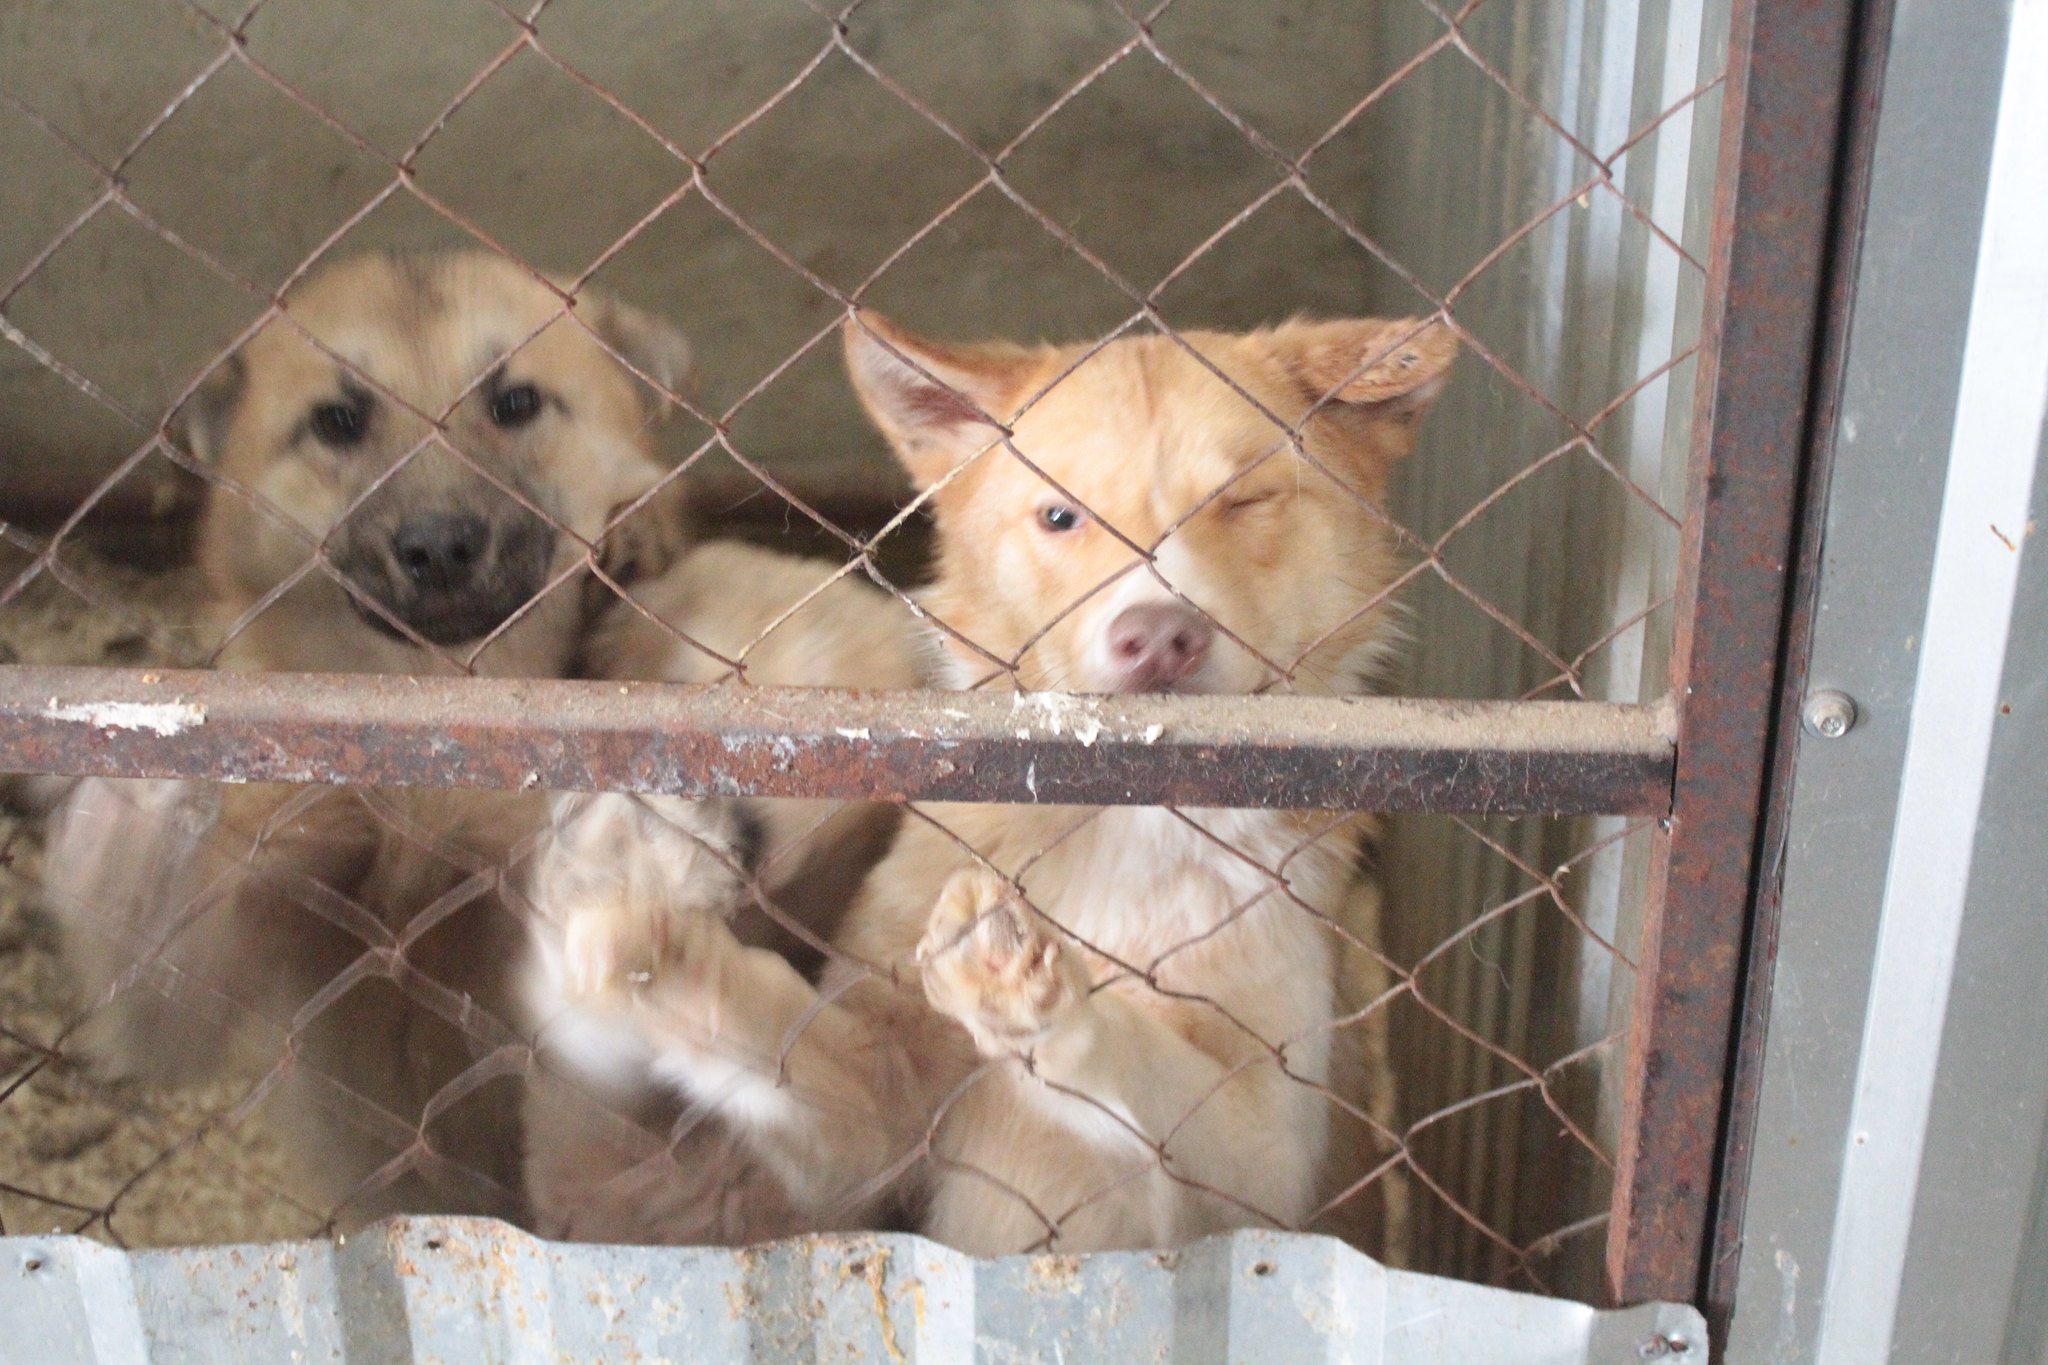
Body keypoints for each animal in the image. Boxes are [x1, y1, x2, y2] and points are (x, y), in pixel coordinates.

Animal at [528, 313, 1458, 1260]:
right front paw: (635, 915)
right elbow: (769, 1028)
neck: (1120, 821)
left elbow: (1145, 1061)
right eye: (1060, 515)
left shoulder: (1265, 1163)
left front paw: (1037, 992)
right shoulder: (870, 1119)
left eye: (1246, 502)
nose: (1160, 636)